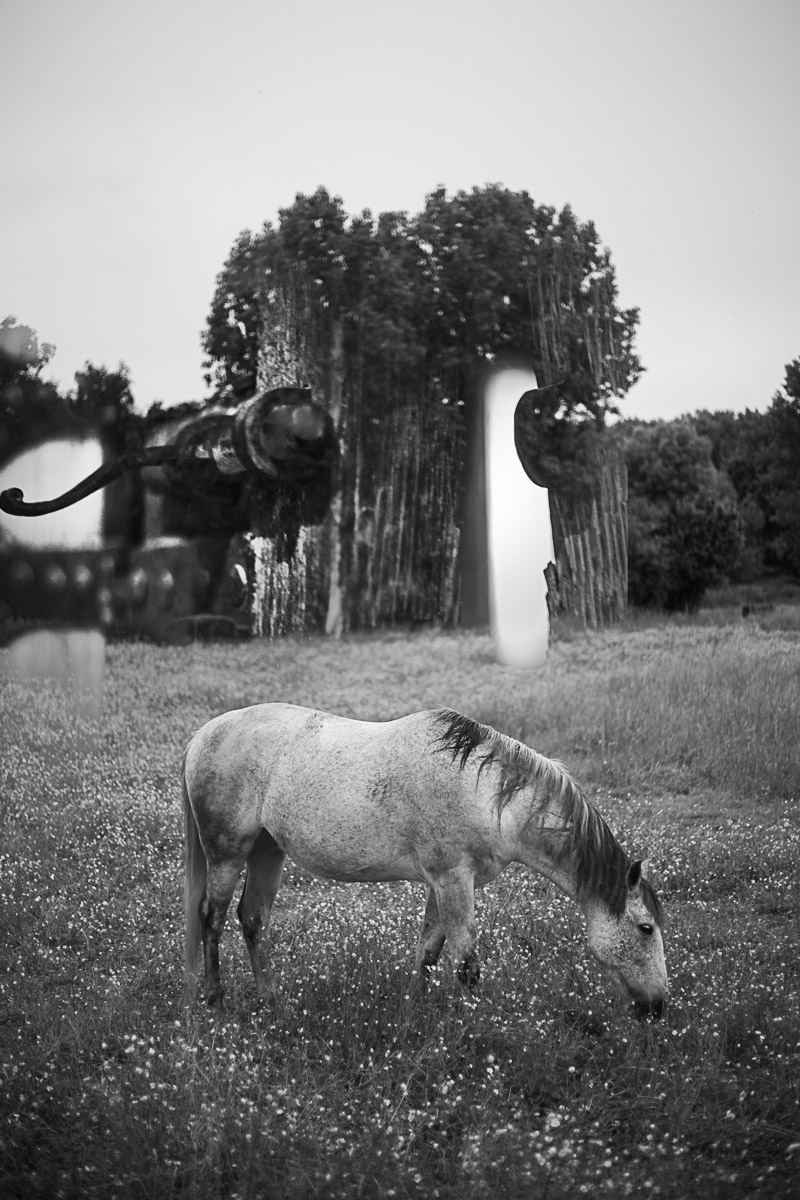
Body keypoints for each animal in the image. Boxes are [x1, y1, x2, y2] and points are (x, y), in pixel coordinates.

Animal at [182, 703, 668, 1015]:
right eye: (646, 928)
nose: (658, 1007)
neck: (488, 793)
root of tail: (203, 735)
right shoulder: (454, 880)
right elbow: (467, 965)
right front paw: (478, 1033)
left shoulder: (442, 883)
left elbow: (428, 954)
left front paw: (414, 1012)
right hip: (227, 853)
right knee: (212, 918)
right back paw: (215, 1000)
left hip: (267, 851)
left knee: (252, 919)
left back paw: (270, 999)